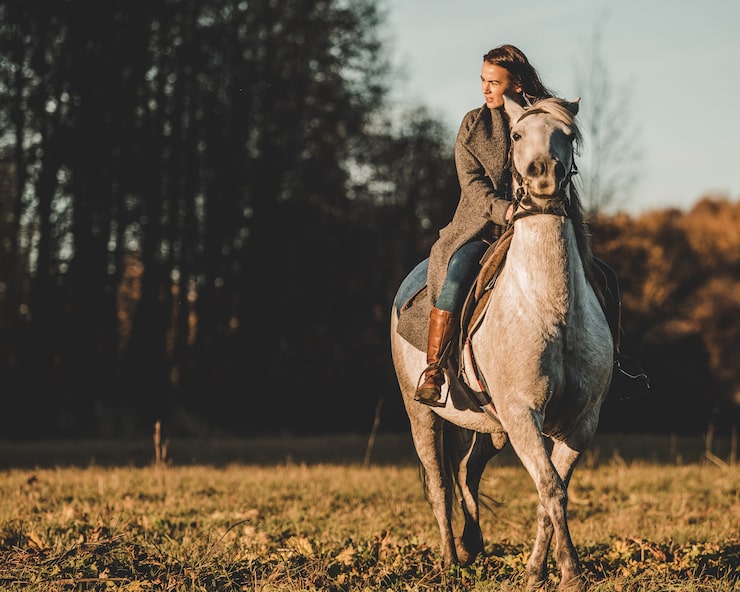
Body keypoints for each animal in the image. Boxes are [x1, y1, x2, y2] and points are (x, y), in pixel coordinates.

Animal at [390, 96, 613, 592]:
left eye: (567, 133)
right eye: (516, 134)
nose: (543, 174)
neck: (550, 305)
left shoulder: (580, 424)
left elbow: (552, 494)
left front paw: (535, 573)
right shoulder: (522, 414)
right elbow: (550, 489)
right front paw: (570, 572)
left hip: (492, 428)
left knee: (467, 472)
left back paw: (472, 546)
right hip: (422, 415)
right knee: (439, 484)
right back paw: (450, 561)